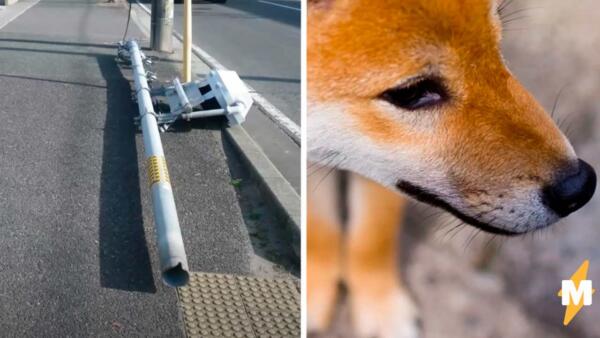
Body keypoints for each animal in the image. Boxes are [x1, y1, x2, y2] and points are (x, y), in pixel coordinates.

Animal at [308, 0, 596, 336]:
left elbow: (374, 237)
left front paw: (380, 304)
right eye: (411, 92)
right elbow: (319, 229)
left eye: (496, 41)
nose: (579, 185)